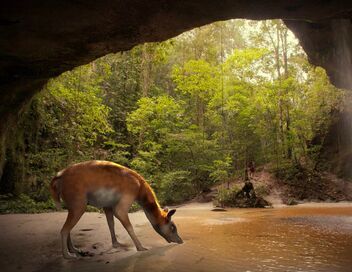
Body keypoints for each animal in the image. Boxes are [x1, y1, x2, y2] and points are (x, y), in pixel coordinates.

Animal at [49, 160, 184, 258]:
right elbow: (128, 226)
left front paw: (116, 244)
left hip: (72, 207)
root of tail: (59, 177)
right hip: (79, 205)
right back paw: (67, 255)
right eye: (172, 227)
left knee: (68, 228)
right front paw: (141, 247)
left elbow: (111, 224)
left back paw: (74, 249)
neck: (140, 190)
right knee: (64, 230)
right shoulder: (122, 204)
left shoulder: (107, 206)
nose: (181, 241)